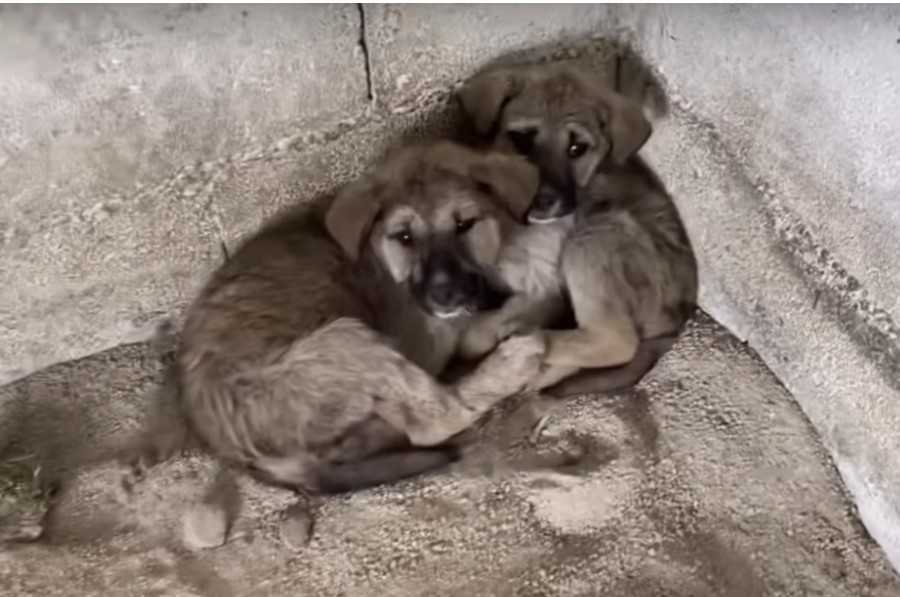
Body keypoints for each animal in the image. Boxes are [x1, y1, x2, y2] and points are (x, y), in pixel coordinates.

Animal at [120, 141, 544, 548]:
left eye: (464, 224)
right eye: (405, 237)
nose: (447, 295)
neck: (379, 259)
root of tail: (232, 450)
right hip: (348, 339)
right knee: (434, 419)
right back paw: (513, 362)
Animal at [454, 61, 700, 396]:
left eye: (576, 148)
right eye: (521, 140)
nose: (541, 200)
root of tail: (680, 319)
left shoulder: (548, 286)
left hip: (595, 236)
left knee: (616, 341)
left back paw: (531, 346)